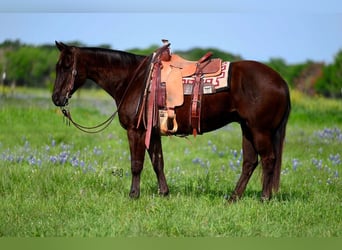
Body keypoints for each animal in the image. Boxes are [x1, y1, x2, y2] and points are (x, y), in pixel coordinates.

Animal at [51, 41, 292, 201]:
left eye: (66, 66)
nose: (56, 98)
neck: (134, 79)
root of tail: (281, 81)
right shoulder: (152, 132)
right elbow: (157, 162)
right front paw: (164, 193)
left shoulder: (135, 131)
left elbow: (136, 164)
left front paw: (133, 195)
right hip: (247, 129)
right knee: (250, 162)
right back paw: (233, 197)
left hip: (260, 130)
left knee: (268, 160)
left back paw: (264, 198)